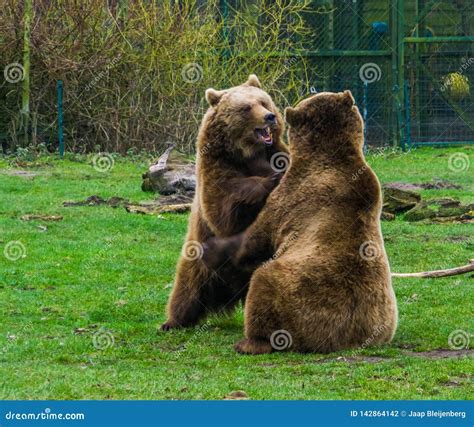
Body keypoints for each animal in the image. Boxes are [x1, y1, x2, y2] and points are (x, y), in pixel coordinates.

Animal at [161, 75, 288, 332]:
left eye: (263, 102)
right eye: (247, 107)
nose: (269, 116)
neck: (248, 151)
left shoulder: (276, 152)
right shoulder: (216, 165)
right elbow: (224, 205)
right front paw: (272, 179)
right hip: (198, 257)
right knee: (186, 290)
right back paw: (172, 321)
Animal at [203, 90, 396, 354]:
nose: (273, 116)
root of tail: (346, 339)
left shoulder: (289, 198)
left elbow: (254, 242)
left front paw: (212, 249)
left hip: (296, 293)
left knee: (262, 282)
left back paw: (250, 342)